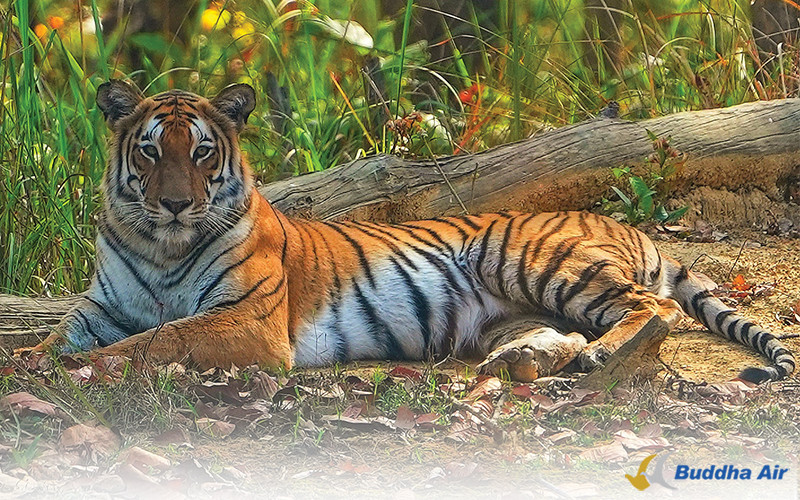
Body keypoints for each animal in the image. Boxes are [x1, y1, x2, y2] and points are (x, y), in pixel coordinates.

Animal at [17, 80, 795, 384]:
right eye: (151, 151)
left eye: (203, 152)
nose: (177, 204)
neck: (162, 246)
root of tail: (611, 219)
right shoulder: (100, 310)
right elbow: (53, 341)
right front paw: (29, 364)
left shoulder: (247, 320)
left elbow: (156, 341)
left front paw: (78, 372)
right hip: (511, 309)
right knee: (564, 333)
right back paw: (524, 363)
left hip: (536, 259)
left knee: (652, 307)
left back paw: (604, 356)